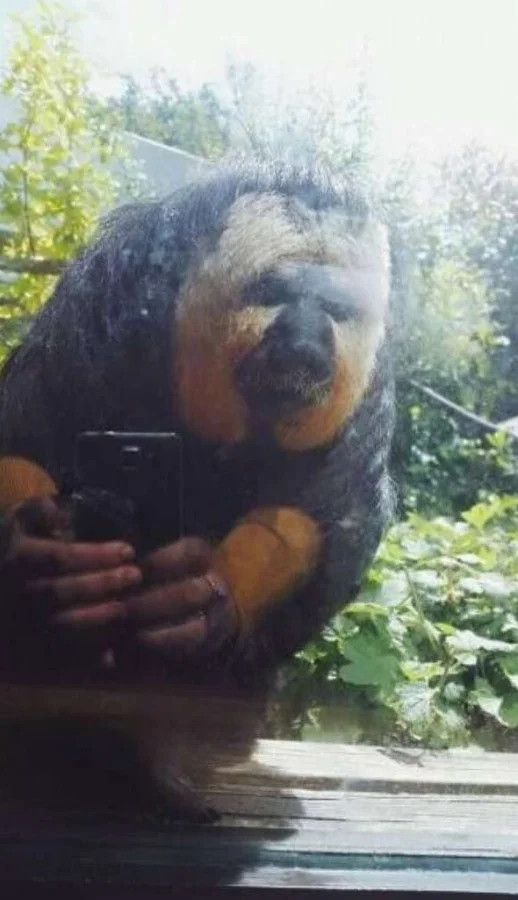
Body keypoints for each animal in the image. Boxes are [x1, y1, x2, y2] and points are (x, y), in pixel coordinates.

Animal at [0, 159, 395, 821]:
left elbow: (320, 512)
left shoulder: (371, 384)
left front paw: (202, 609)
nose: (307, 342)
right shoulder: (109, 292)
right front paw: (44, 560)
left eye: (335, 308)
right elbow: (28, 435)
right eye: (276, 294)